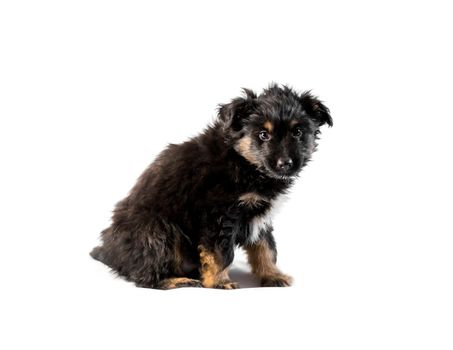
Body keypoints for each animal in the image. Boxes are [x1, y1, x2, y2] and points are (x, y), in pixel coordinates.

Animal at [91, 84, 332, 290]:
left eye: (298, 132)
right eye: (263, 135)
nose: (285, 164)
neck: (243, 162)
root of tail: (109, 252)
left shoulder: (259, 216)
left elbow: (266, 248)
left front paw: (272, 275)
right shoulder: (218, 214)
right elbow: (220, 252)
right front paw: (218, 282)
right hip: (158, 230)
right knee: (144, 274)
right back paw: (175, 280)